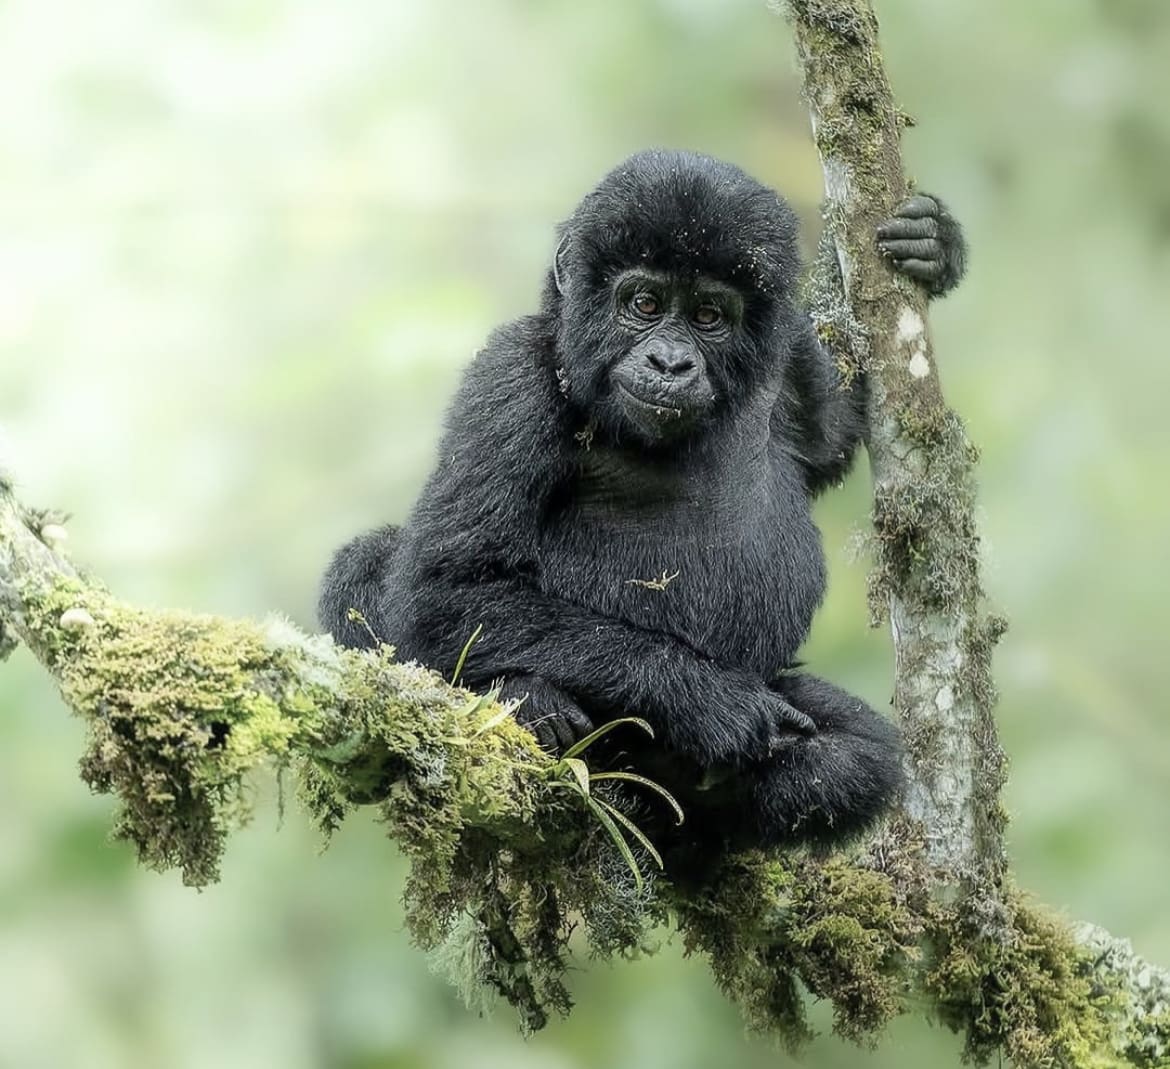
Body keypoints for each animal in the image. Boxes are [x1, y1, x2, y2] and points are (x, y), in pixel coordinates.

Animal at [315, 147, 964, 851]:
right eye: (644, 303)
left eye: (708, 316)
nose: (671, 362)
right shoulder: (510, 374)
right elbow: (447, 586)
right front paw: (705, 698)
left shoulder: (788, 345)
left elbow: (835, 430)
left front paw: (933, 243)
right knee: (366, 567)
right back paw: (534, 705)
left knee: (859, 755)